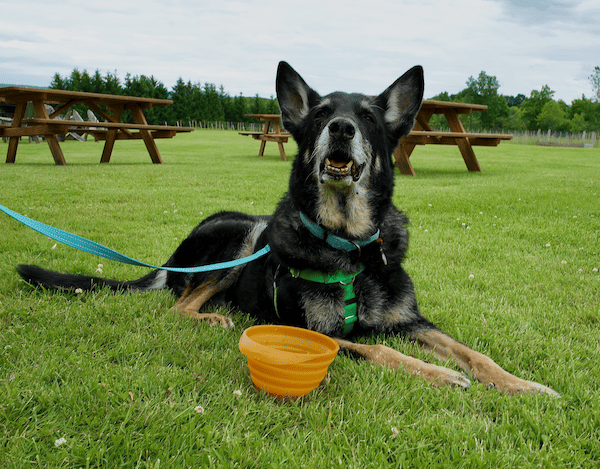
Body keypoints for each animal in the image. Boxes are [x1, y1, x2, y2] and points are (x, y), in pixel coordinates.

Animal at [19, 59, 564, 394]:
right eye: (321, 113)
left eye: (368, 117)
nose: (341, 128)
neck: (350, 246)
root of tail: (171, 258)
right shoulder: (311, 331)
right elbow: (380, 350)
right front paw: (436, 374)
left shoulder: (412, 322)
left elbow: (474, 354)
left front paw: (522, 384)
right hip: (242, 236)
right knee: (179, 305)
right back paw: (212, 317)